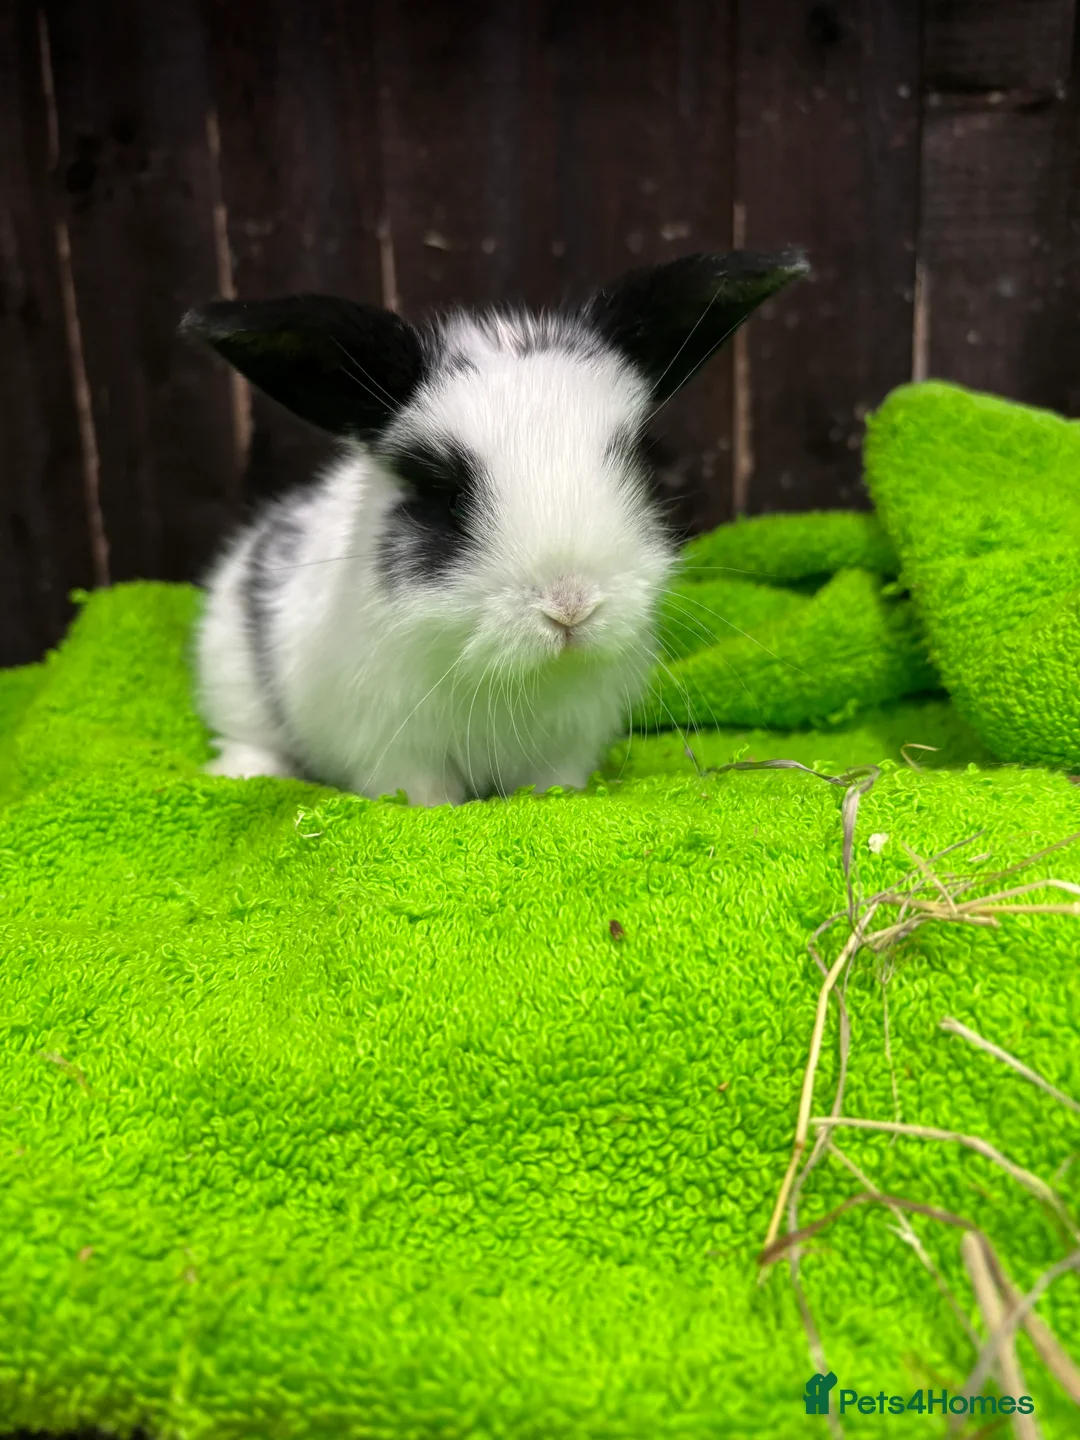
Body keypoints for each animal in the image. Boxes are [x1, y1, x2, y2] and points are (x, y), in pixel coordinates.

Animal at [181, 248, 807, 806]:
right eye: (445, 494)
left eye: (634, 462)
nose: (570, 606)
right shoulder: (398, 751)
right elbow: (423, 796)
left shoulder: (567, 744)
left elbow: (553, 784)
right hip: (232, 674)